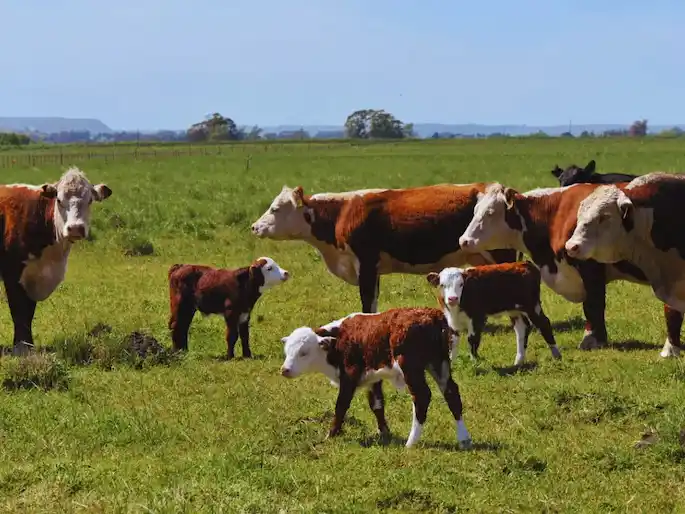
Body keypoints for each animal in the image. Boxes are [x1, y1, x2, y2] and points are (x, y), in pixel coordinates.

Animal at [0, 167, 112, 355]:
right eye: (59, 200)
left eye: (90, 200)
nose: (75, 228)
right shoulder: (13, 273)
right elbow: (19, 310)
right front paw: (21, 347)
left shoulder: (35, 276)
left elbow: (29, 312)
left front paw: (29, 345)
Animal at [251, 184, 518, 313]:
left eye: (275, 208)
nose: (254, 226)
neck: (342, 213)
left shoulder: (366, 263)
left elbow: (367, 301)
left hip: (501, 254)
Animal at [279, 308, 473, 449]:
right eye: (287, 351)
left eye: (304, 352)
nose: (285, 370)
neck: (340, 339)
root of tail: (433, 315)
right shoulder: (373, 378)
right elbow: (377, 404)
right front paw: (384, 432)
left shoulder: (349, 377)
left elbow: (341, 406)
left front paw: (331, 434)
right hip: (439, 363)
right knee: (451, 393)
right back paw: (464, 439)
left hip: (411, 367)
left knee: (422, 396)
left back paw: (411, 443)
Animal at [426, 262, 561, 366]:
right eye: (442, 285)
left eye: (461, 284)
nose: (452, 298)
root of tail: (524, 264)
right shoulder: (451, 320)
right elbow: (452, 341)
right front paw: (452, 364)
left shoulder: (477, 317)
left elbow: (472, 339)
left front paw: (474, 362)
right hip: (515, 310)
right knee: (521, 329)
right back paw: (518, 361)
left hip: (532, 307)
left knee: (544, 324)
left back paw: (557, 355)